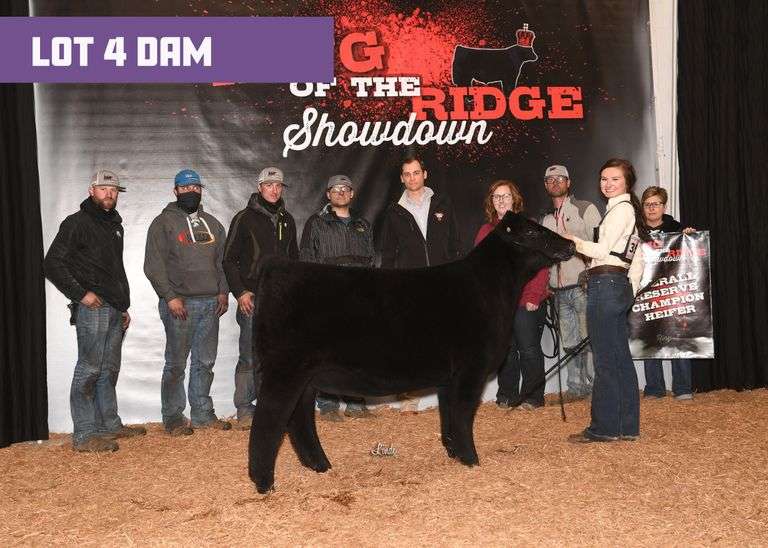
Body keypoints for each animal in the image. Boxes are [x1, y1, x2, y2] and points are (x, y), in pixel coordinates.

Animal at [247, 212, 574, 493]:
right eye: (531, 232)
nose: (570, 243)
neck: (490, 288)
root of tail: (277, 265)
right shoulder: (471, 369)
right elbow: (463, 414)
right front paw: (471, 460)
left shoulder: (449, 377)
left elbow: (449, 416)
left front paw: (454, 453)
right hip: (285, 370)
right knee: (268, 420)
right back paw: (264, 483)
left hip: (305, 377)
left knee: (298, 419)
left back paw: (320, 466)